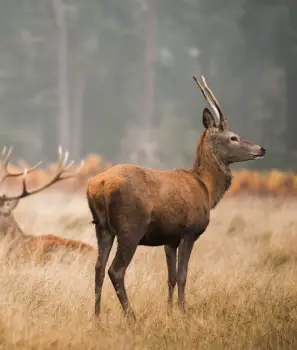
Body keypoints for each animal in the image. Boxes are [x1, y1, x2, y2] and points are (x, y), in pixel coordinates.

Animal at [86, 75, 266, 322]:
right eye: (233, 137)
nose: (261, 149)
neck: (206, 188)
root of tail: (99, 185)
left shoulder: (169, 238)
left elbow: (170, 276)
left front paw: (169, 311)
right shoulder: (189, 230)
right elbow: (182, 275)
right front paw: (183, 312)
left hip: (102, 227)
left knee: (98, 268)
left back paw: (97, 317)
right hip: (130, 226)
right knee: (116, 270)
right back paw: (132, 317)